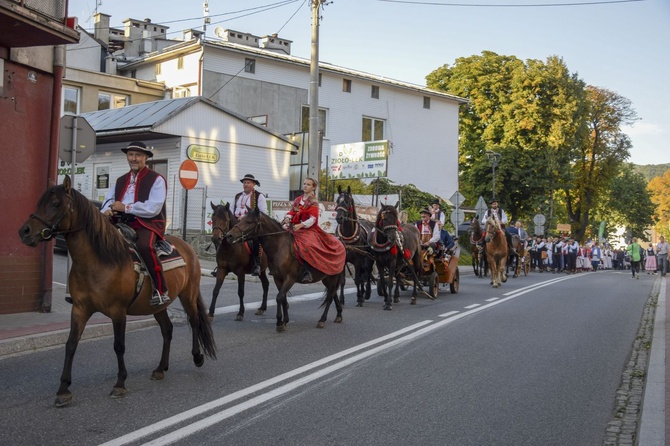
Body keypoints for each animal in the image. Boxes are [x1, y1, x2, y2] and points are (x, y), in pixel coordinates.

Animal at [18, 176, 217, 406]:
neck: (98, 260)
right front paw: (63, 390)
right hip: (159, 306)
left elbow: (119, 345)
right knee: (167, 329)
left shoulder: (118, 311)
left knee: (194, 321)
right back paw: (160, 368)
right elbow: (71, 344)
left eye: (56, 204)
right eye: (40, 202)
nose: (24, 232)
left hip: (188, 295)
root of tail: (187, 248)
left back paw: (197, 357)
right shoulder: (80, 309)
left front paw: (120, 384)